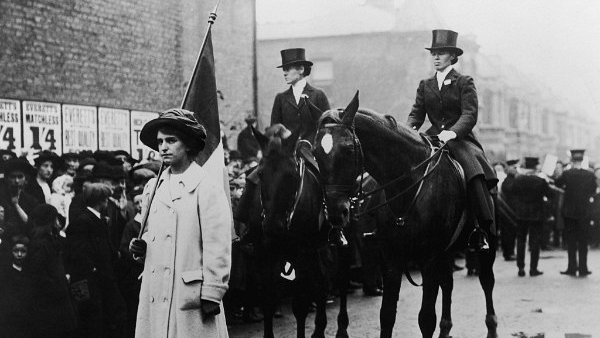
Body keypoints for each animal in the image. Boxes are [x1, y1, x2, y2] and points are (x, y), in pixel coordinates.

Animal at [250, 124, 352, 338]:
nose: (272, 226)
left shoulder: (301, 256)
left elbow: (300, 306)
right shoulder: (263, 256)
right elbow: (268, 302)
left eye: (291, 175)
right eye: (261, 173)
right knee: (322, 283)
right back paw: (319, 327)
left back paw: (341, 327)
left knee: (341, 280)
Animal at [312, 92, 500, 338]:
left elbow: (426, 319)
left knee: (487, 282)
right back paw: (446, 329)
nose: (335, 212)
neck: (409, 183)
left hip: (488, 241)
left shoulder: (429, 259)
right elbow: (387, 315)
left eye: (348, 150)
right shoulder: (392, 258)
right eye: (315, 153)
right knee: (448, 284)